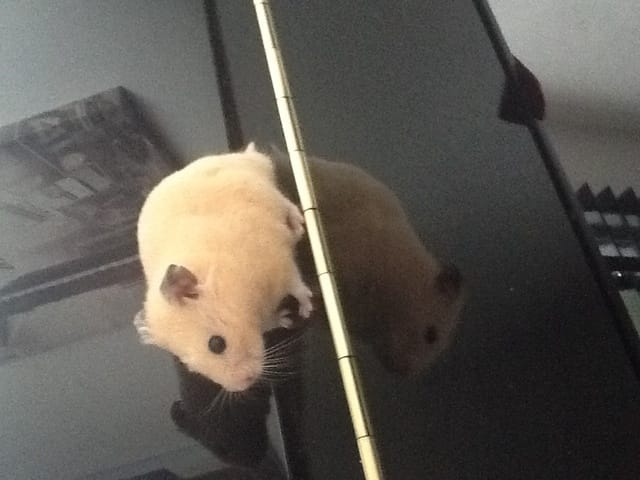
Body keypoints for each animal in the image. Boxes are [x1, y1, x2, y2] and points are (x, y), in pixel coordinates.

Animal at [134, 144, 313, 392]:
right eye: (192, 368)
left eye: (216, 344)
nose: (244, 385)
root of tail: (243, 156)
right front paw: (285, 319)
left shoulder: (280, 262)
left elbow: (297, 286)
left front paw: (306, 311)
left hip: (268, 191)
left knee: (286, 203)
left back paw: (298, 225)